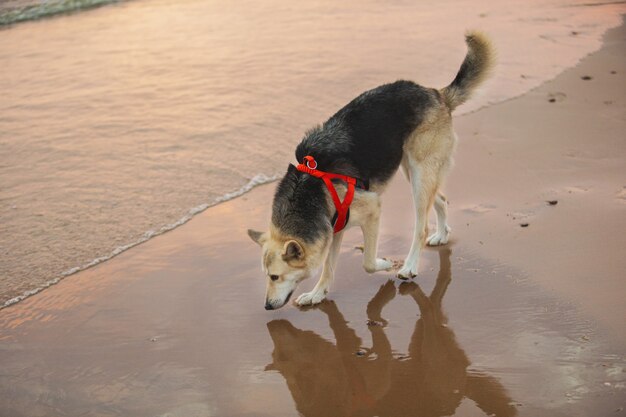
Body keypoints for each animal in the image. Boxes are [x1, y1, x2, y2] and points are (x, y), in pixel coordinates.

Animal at [247, 31, 492, 308]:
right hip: (414, 171)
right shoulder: (334, 229)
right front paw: (317, 294)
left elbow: (367, 263)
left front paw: (384, 263)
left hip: (419, 174)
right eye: (267, 276)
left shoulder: (373, 209)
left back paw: (409, 265)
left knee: (421, 226)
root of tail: (436, 94)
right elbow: (328, 267)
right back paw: (441, 235)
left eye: (275, 276)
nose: (267, 306)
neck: (309, 193)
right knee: (440, 198)